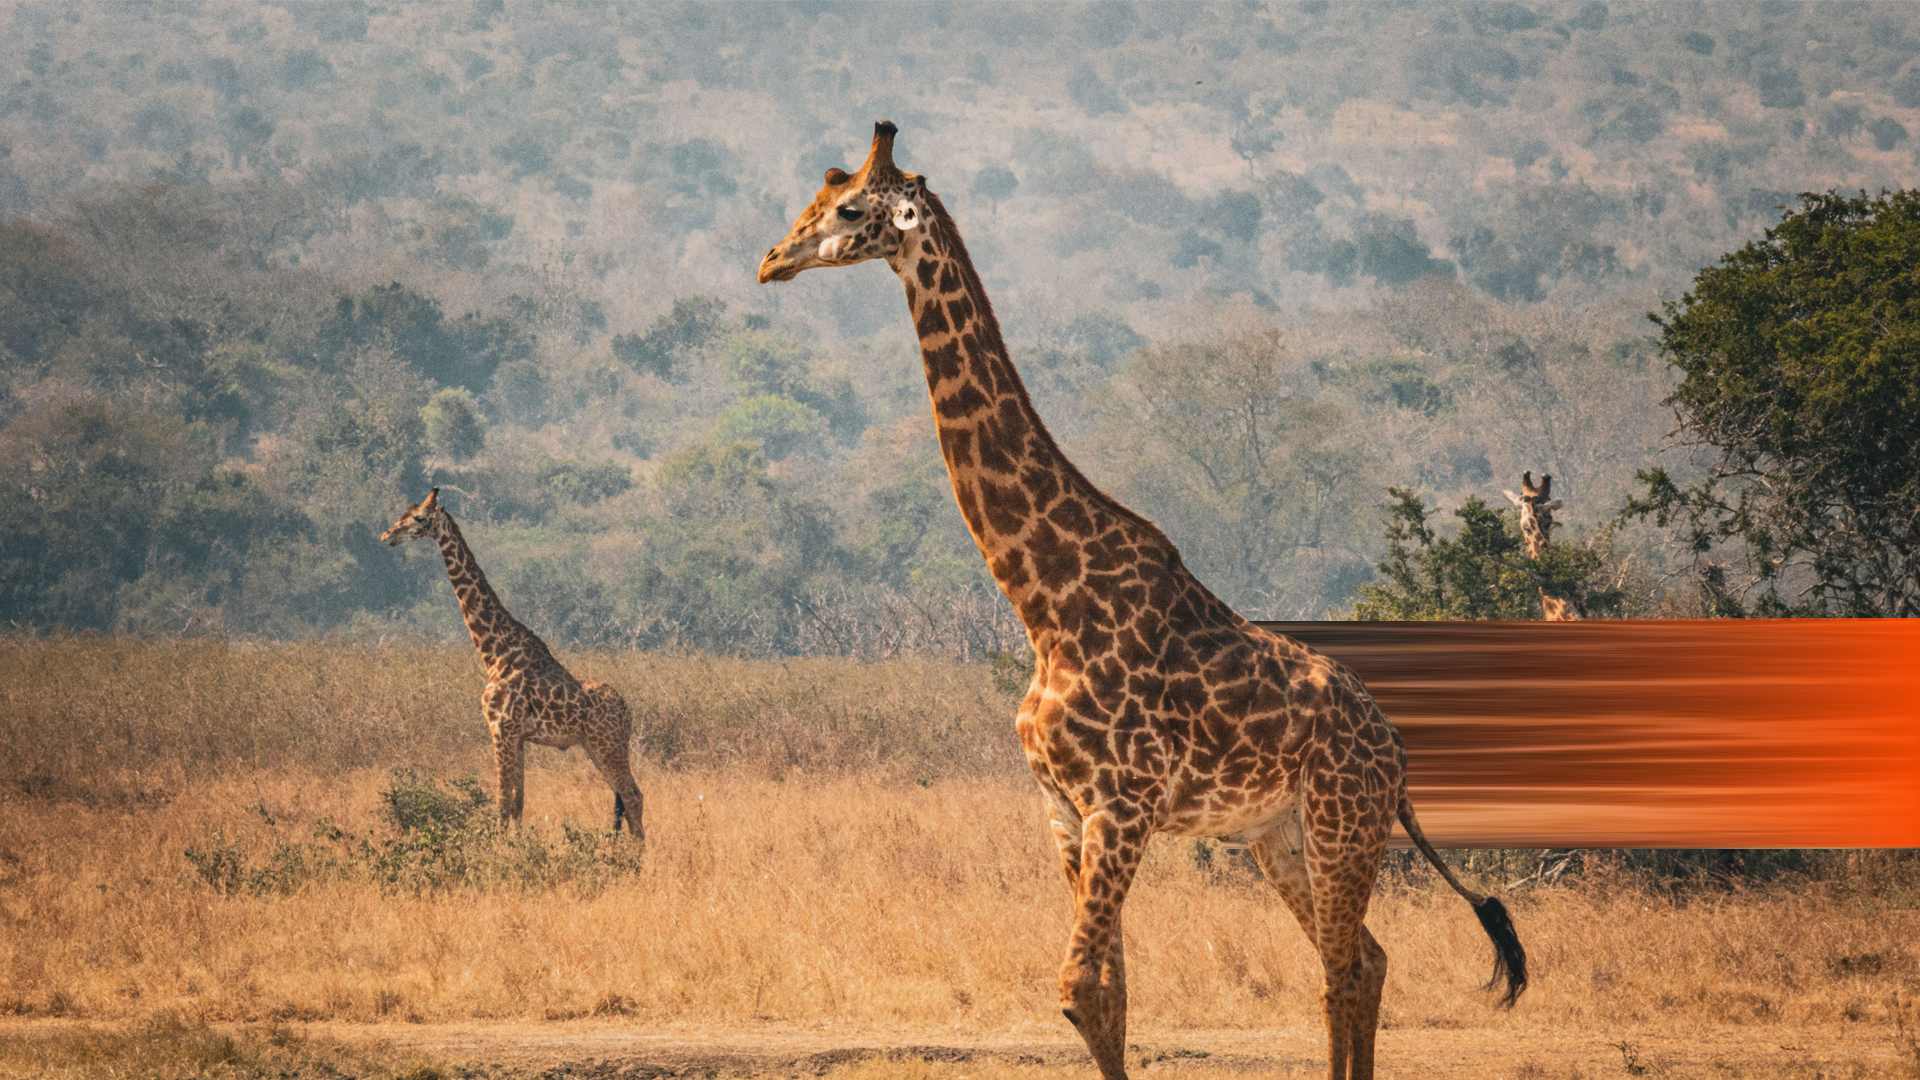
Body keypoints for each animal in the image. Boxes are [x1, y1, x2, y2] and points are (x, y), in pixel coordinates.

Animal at [381, 489, 645, 839]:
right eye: (404, 512)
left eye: (419, 518)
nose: (387, 535)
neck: (494, 653)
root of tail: (627, 711)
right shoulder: (518, 737)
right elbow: (518, 804)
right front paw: (517, 847)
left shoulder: (500, 729)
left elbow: (502, 802)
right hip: (594, 746)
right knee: (629, 796)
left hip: (608, 745)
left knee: (632, 796)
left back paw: (637, 853)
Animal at [759, 122, 1525, 1080]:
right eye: (817, 196)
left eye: (851, 208)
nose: (771, 262)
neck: (1046, 601)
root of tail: (1397, 753)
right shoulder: (1064, 811)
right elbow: (1111, 995)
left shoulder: (1121, 806)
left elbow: (1078, 988)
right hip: (1278, 838)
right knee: (1367, 959)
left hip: (1341, 824)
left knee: (1345, 969)